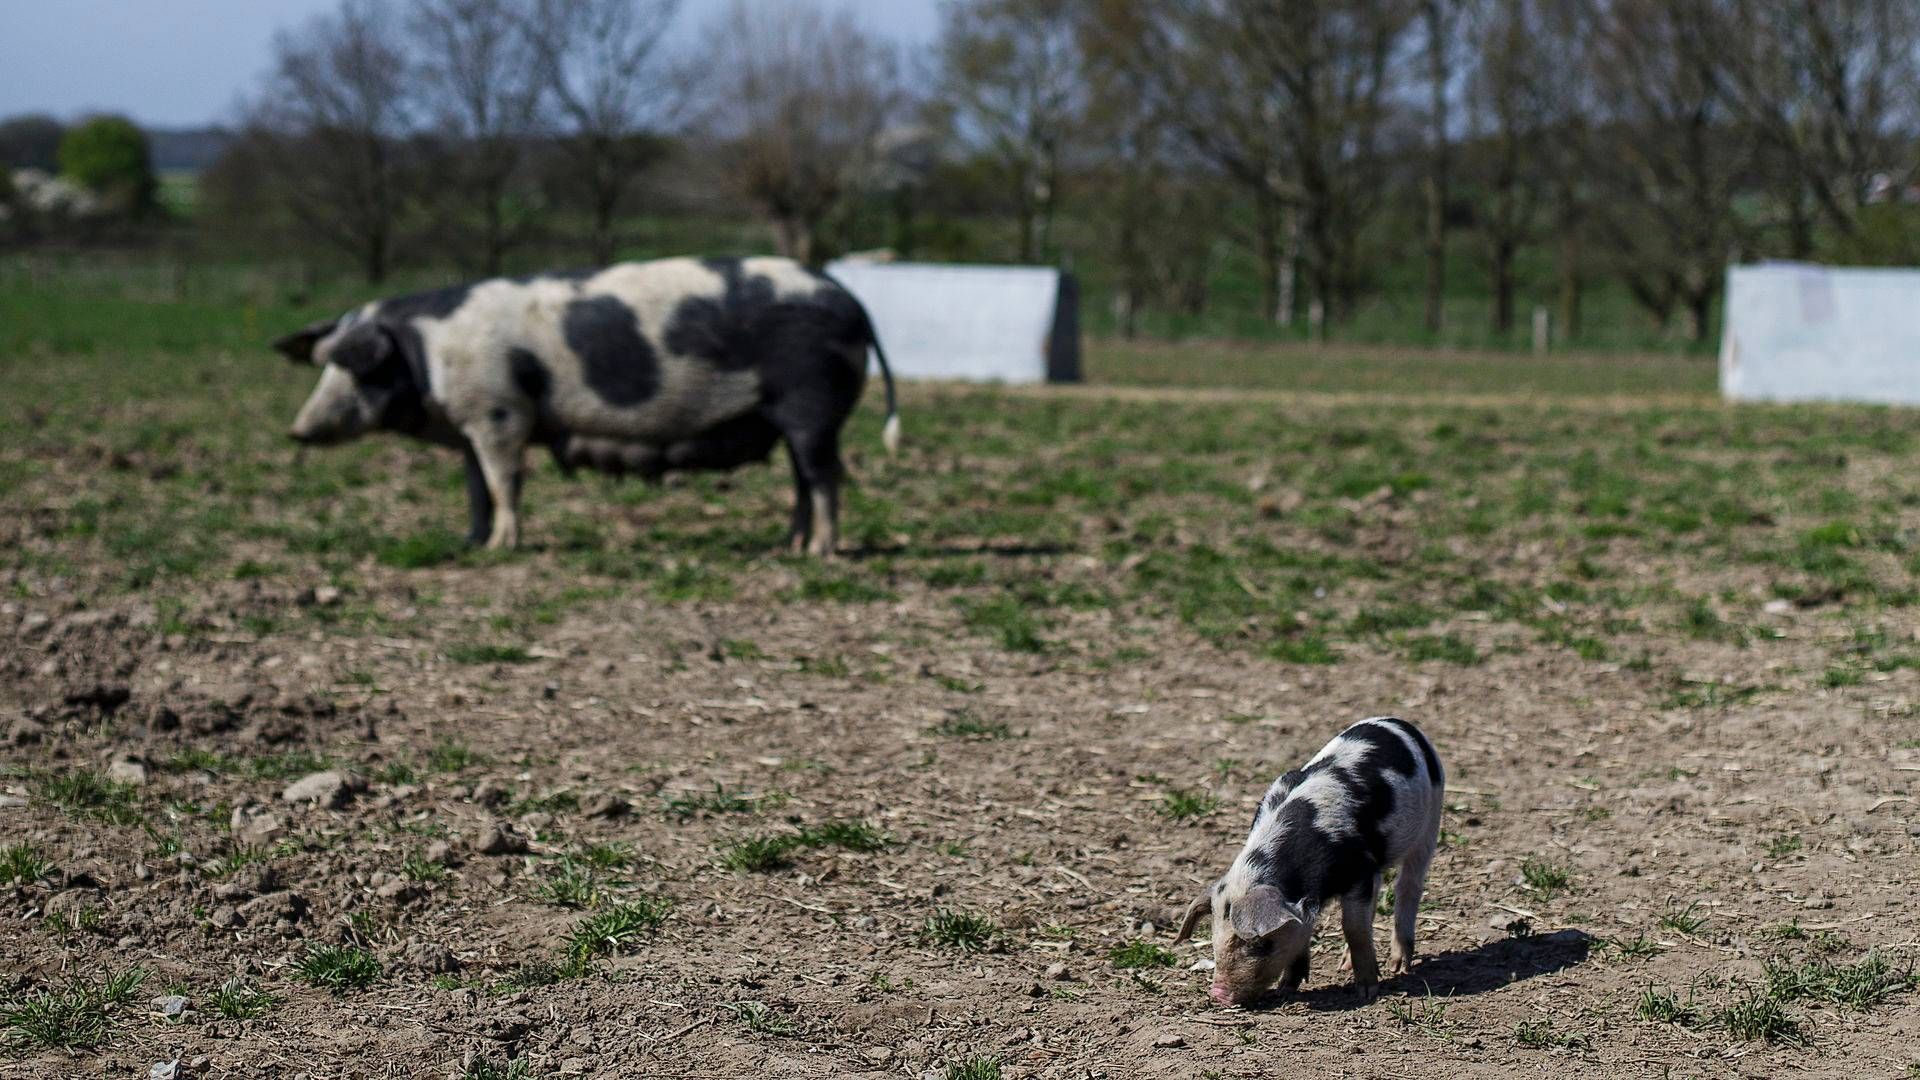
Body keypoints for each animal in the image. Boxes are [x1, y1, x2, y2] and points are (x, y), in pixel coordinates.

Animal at [272, 253, 898, 553]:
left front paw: (501, 548)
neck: (430, 353)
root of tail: (853, 302)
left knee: (824, 476)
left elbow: (505, 482)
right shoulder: (472, 423)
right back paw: (788, 547)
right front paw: (470, 543)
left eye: (356, 366)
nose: (297, 430)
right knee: (803, 481)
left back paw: (820, 552)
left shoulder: (500, 413)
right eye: (324, 364)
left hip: (811, 405)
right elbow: (476, 487)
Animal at [1167, 714, 1443, 999]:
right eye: (1214, 936)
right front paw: (1286, 989)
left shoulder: (1357, 872)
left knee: (1408, 886)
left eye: (1261, 943)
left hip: (1432, 817)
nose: (1218, 993)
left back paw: (1398, 966)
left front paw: (1367, 991)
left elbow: (1353, 927)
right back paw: (1344, 964)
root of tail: (1393, 720)